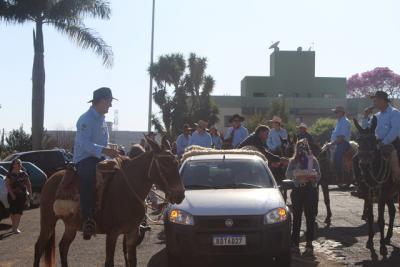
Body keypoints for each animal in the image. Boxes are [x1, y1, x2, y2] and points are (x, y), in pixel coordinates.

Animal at [34, 138, 184, 267]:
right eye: (164, 164)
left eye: (177, 163)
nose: (180, 195)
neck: (127, 191)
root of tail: (51, 178)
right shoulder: (112, 234)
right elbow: (109, 262)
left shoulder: (132, 234)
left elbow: (132, 261)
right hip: (48, 221)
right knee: (39, 246)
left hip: (71, 225)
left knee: (63, 247)